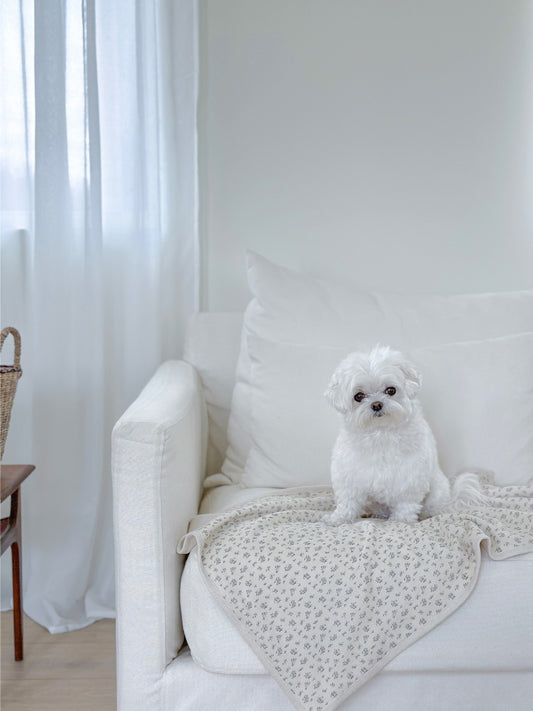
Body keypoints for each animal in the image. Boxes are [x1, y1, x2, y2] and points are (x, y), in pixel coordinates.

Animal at [322, 348, 484, 524]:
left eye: (391, 390)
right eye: (358, 396)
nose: (377, 404)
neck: (381, 433)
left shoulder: (409, 478)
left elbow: (405, 504)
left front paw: (401, 522)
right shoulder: (349, 476)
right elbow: (347, 501)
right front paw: (338, 518)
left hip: (436, 492)